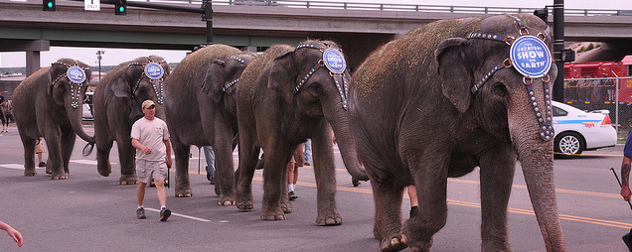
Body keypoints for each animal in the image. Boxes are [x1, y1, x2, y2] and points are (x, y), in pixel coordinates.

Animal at [91, 55, 170, 185]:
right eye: (142, 90)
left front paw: (158, 181)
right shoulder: (116, 103)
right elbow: (124, 138)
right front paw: (128, 181)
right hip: (98, 109)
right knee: (104, 143)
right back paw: (105, 172)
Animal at [163, 43, 256, 201]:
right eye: (238, 92)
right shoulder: (206, 98)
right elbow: (220, 138)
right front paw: (228, 201)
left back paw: (217, 191)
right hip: (170, 115)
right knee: (181, 149)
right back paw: (184, 194)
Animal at [235, 41, 368, 226]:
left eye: (348, 82)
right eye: (316, 87)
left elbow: (324, 152)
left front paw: (330, 221)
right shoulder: (268, 103)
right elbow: (273, 151)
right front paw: (272, 217)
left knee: (285, 161)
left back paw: (285, 208)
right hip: (243, 111)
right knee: (250, 156)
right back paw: (244, 205)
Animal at [348, 14, 564, 252]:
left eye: (553, 79)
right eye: (499, 89)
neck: (470, 30)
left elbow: (499, 173)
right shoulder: (427, 111)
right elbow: (427, 169)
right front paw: (408, 236)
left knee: (396, 181)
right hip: (361, 128)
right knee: (383, 179)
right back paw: (394, 242)